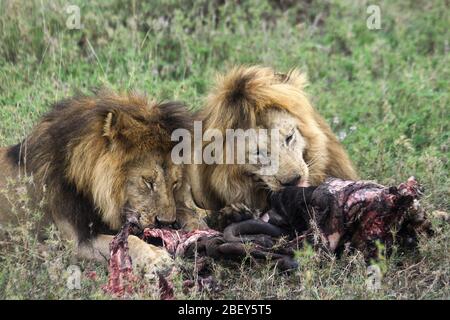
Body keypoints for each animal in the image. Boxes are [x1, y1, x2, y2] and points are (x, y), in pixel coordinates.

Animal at [0, 91, 192, 274]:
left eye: (175, 183)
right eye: (148, 181)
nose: (167, 224)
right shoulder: (74, 243)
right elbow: (130, 239)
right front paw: (157, 258)